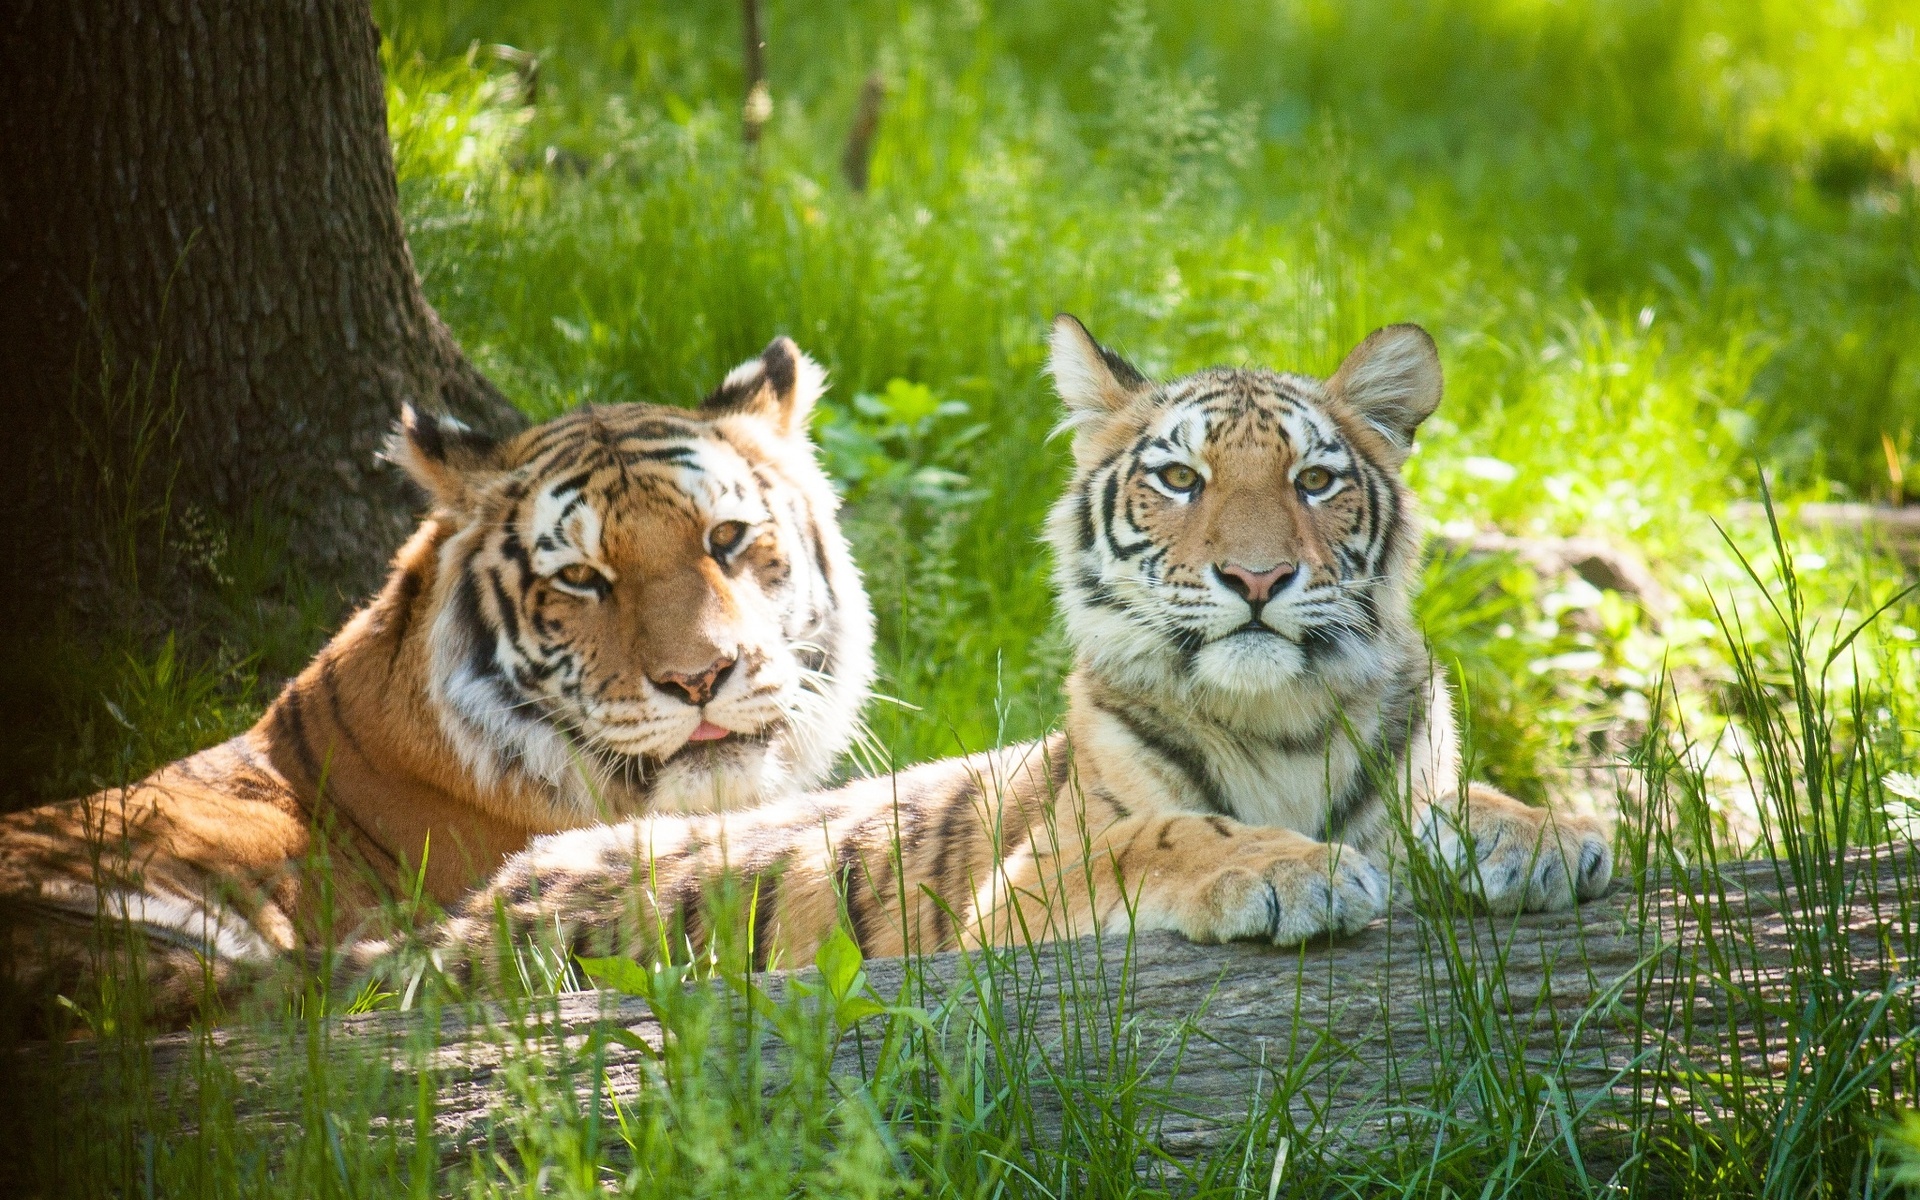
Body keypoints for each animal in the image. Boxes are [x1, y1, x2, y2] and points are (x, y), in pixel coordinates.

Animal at [424, 312, 1620, 979]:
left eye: (1315, 480)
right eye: (1179, 477)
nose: (1256, 579)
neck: (1278, 718)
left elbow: (1461, 798)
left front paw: (1543, 838)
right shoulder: (1022, 894)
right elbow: (1166, 835)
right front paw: (1286, 871)